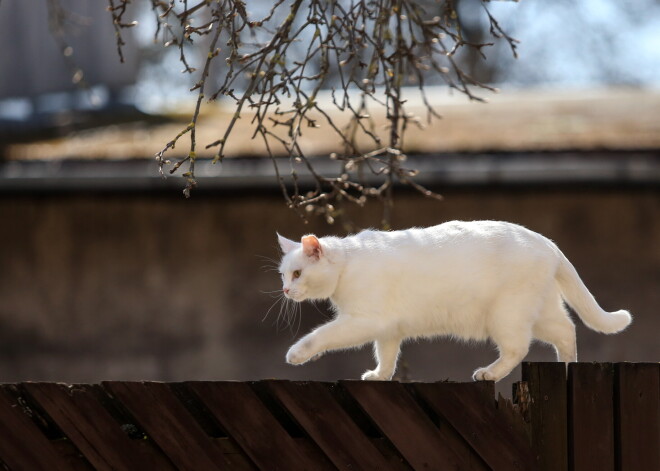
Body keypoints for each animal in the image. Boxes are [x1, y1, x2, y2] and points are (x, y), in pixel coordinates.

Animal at [276, 222, 632, 384]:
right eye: (283, 275)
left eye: (297, 273)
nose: (285, 290)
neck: (347, 263)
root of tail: (547, 242)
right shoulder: (387, 328)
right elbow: (387, 355)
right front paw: (379, 375)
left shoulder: (363, 320)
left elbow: (321, 335)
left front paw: (296, 354)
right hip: (540, 312)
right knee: (567, 330)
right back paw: (568, 367)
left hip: (506, 316)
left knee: (518, 348)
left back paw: (488, 373)